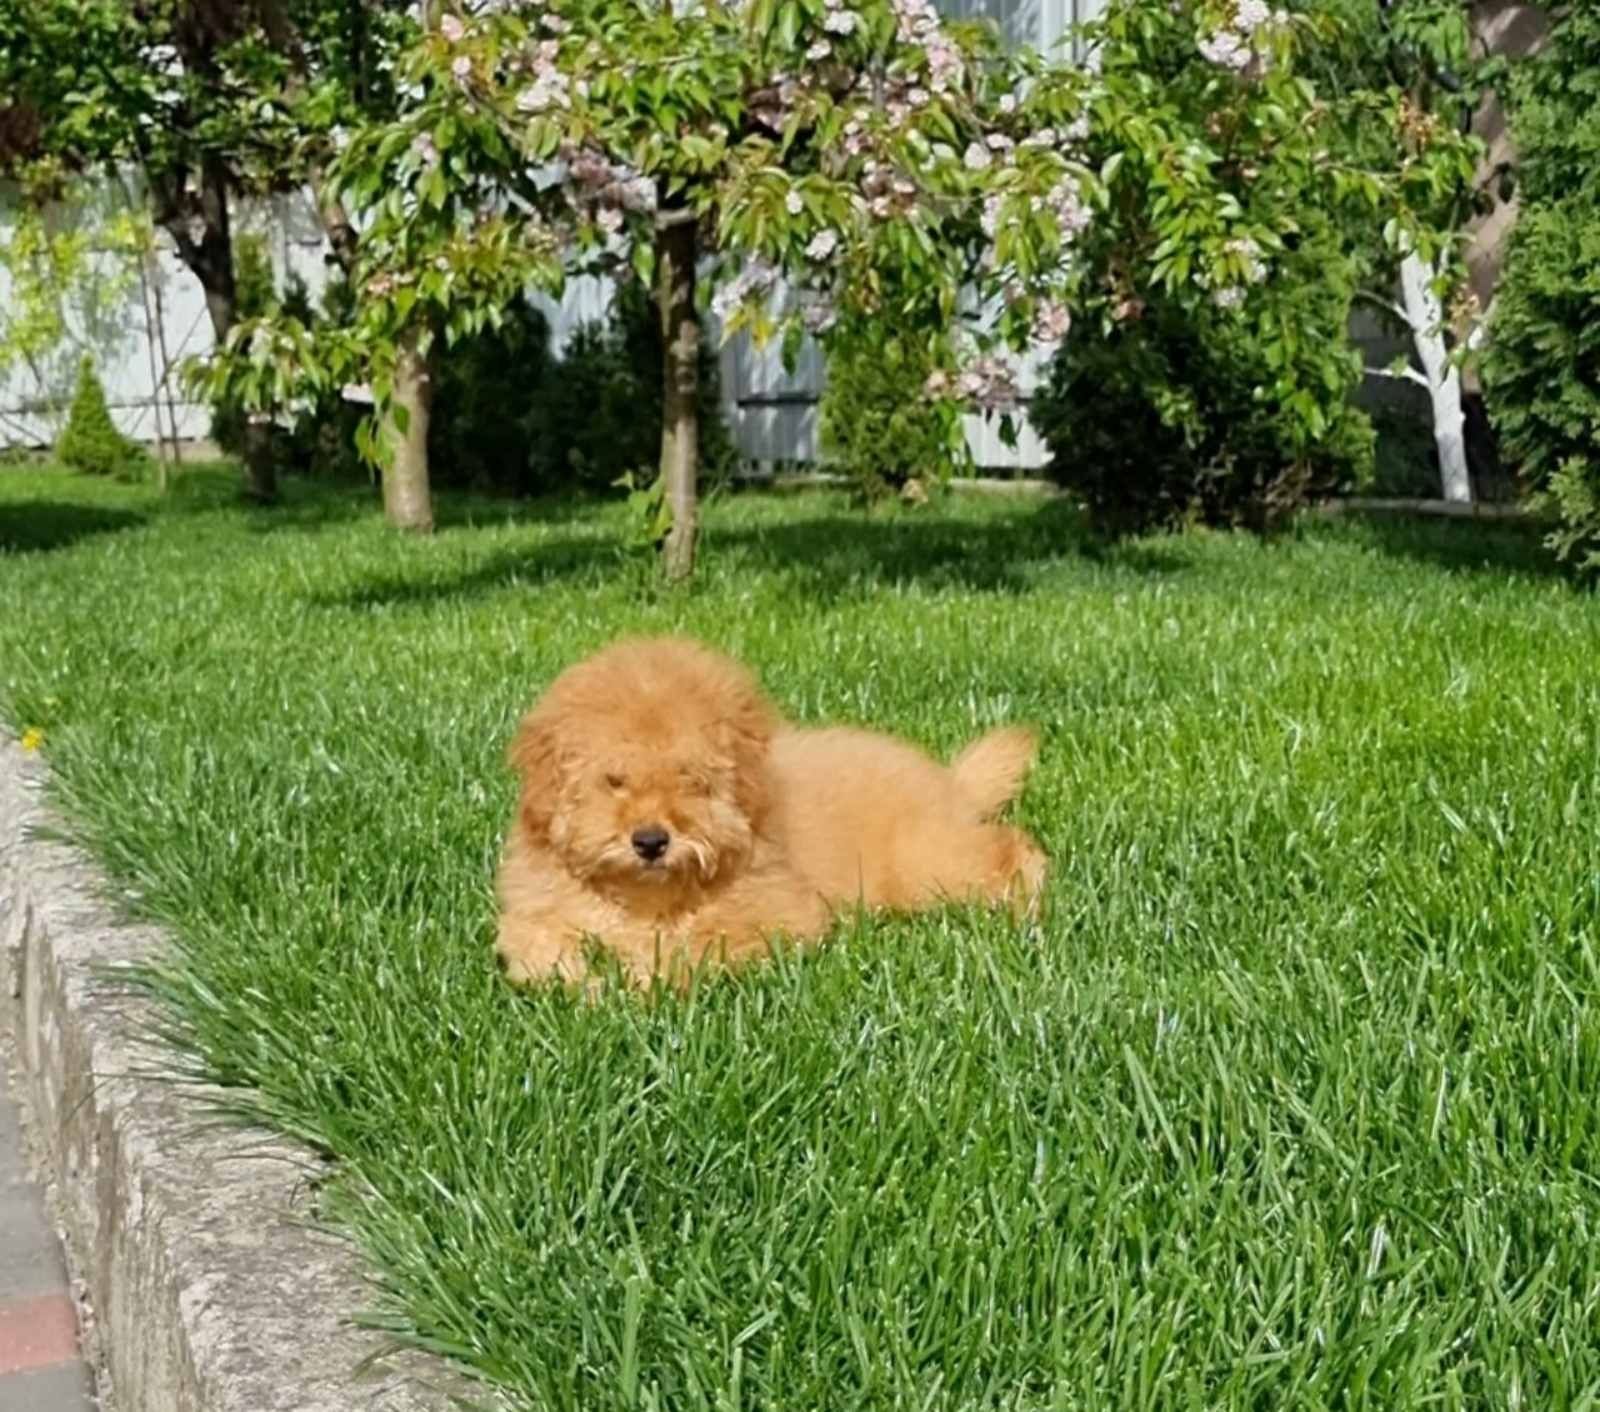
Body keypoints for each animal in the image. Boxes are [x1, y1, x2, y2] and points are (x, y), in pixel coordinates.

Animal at [499, 633, 1049, 986]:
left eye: (691, 780)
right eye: (614, 780)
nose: (651, 841)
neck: (646, 898)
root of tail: (950, 781)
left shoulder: (779, 911)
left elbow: (701, 942)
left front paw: (646, 981)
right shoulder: (533, 910)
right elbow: (538, 949)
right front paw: (587, 985)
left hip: (926, 865)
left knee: (1011, 847)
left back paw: (1026, 905)